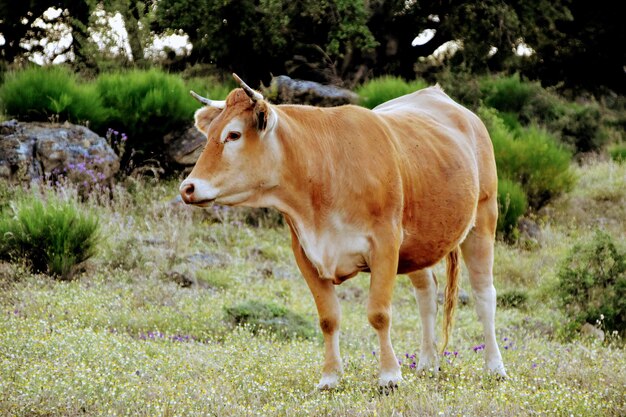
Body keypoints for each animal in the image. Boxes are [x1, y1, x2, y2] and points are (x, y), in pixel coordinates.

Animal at [178, 73, 504, 388]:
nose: (187, 188)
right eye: (209, 135)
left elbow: (379, 313)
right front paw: (331, 377)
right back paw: (427, 363)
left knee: (484, 296)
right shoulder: (305, 253)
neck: (325, 171)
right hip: (418, 245)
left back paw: (495, 367)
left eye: (233, 134)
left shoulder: (385, 244)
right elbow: (328, 318)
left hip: (483, 219)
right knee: (427, 296)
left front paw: (390, 376)